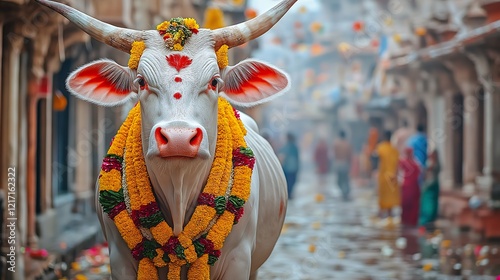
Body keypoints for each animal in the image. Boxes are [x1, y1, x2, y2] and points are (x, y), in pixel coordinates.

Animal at [38, 1, 296, 278]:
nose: (178, 139)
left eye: (215, 81)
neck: (178, 195)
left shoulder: (239, 261)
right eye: (141, 81)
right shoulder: (118, 259)